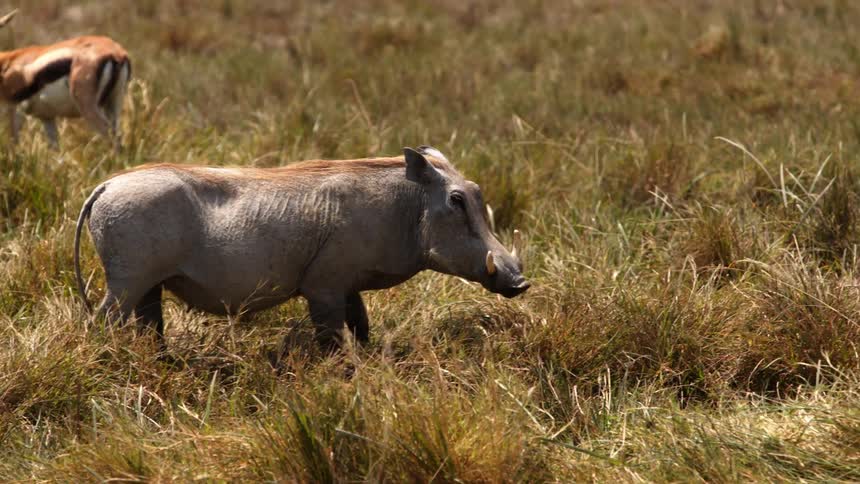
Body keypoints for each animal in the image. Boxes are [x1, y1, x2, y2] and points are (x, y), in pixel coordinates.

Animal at [0, 10, 131, 150]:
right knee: (117, 135)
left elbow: (14, 143)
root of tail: (116, 54)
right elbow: (55, 149)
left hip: (89, 107)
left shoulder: (15, 109)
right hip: (114, 104)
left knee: (111, 137)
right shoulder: (46, 117)